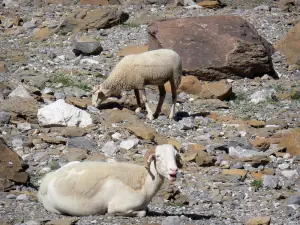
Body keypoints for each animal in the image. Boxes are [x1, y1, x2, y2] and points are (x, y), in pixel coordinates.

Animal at [37, 145, 178, 217]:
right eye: (158, 156)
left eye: (175, 155)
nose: (174, 170)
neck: (144, 181)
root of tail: (47, 180)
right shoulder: (118, 207)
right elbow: (142, 213)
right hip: (55, 208)